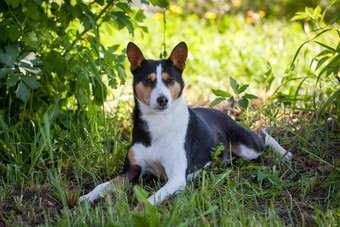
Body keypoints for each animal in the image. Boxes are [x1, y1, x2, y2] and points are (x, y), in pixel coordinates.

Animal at [79, 42, 292, 207]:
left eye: (170, 80)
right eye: (148, 81)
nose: (162, 100)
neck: (159, 122)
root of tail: (222, 113)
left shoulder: (176, 179)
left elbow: (152, 198)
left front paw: (138, 210)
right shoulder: (132, 171)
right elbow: (103, 185)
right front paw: (86, 198)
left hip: (248, 148)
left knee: (261, 134)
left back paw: (285, 153)